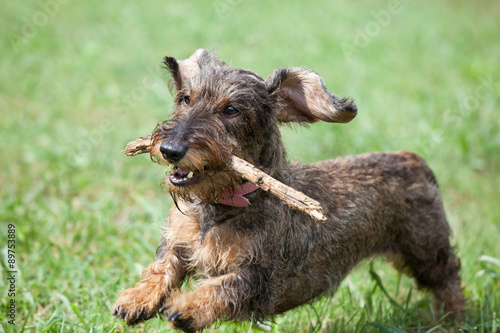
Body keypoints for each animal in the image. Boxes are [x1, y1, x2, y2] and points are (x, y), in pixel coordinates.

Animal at [112, 48, 464, 330]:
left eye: (231, 110)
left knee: (449, 278)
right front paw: (137, 299)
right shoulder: (178, 242)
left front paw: (186, 307)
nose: (170, 149)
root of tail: (413, 160)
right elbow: (164, 265)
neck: (222, 205)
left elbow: (223, 287)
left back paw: (455, 319)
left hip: (425, 251)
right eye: (186, 98)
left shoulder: (259, 276)